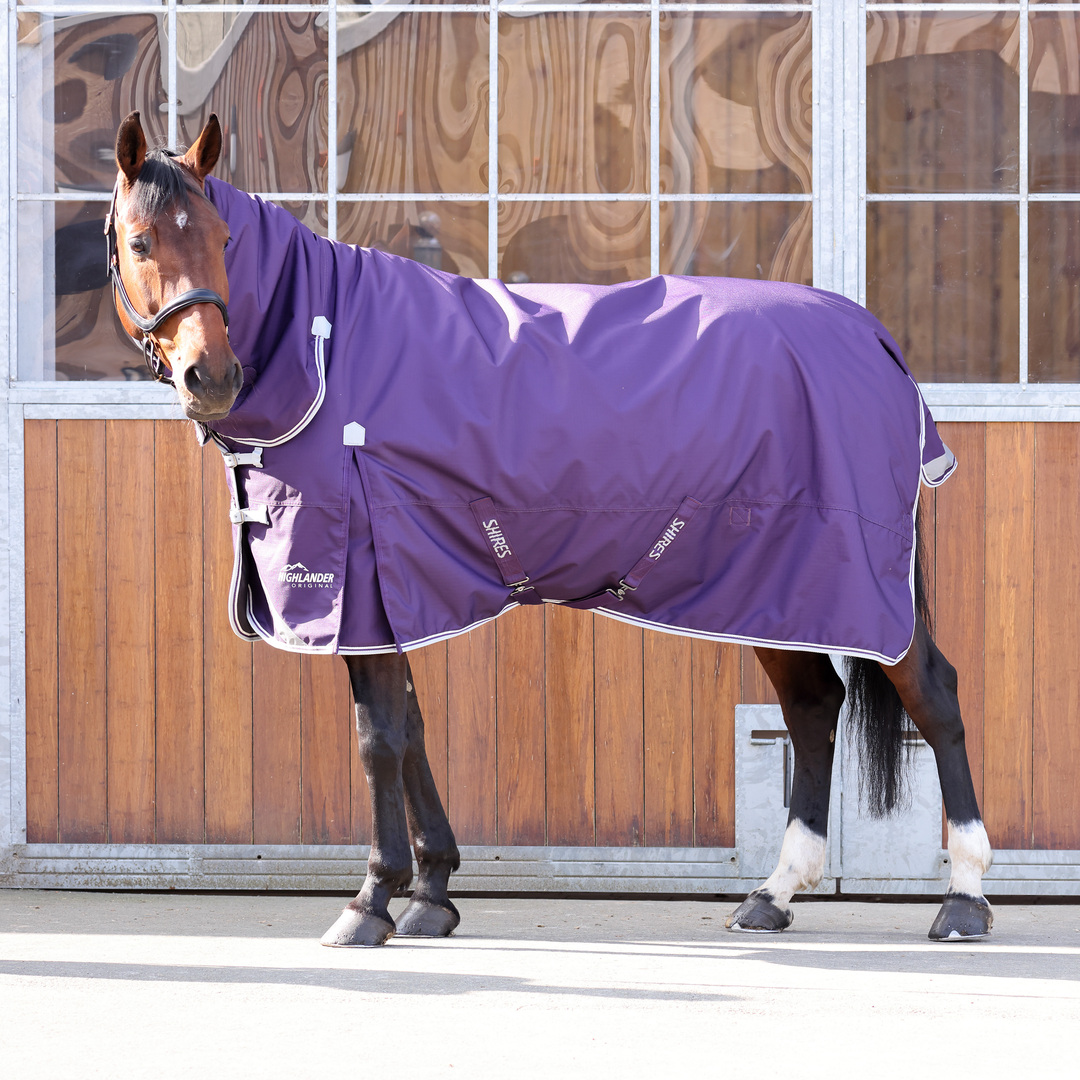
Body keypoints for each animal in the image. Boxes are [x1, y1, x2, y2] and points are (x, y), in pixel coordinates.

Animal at [107, 110, 994, 946]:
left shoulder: (364, 587)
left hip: (854, 581)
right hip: (776, 588)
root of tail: (875, 340)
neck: (327, 348)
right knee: (813, 706)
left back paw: (963, 898)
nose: (212, 376)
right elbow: (414, 729)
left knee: (933, 693)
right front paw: (432, 894)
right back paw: (772, 895)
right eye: (140, 239)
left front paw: (371, 902)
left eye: (223, 239)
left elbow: (378, 739)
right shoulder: (399, 593)